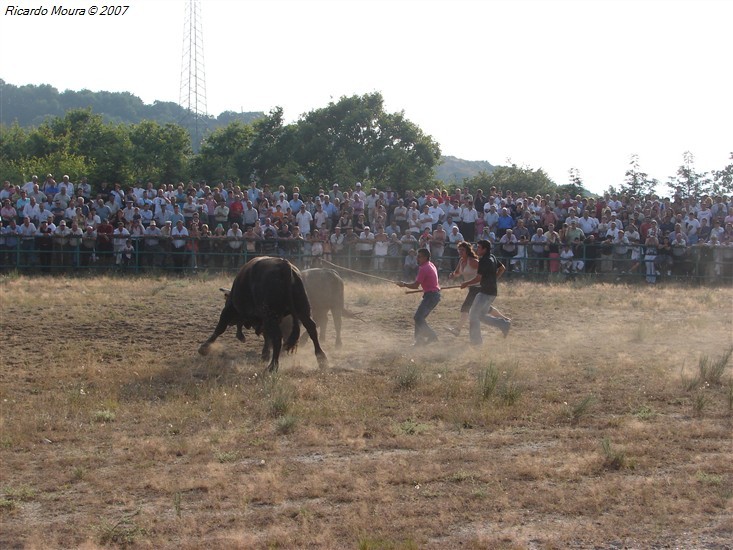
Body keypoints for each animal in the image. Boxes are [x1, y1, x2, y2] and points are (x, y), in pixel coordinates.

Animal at [199, 258, 328, 370]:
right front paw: (265, 354)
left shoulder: (229, 309)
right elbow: (267, 336)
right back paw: (322, 359)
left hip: (271, 315)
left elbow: (220, 328)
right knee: (311, 328)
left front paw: (204, 348)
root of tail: (284, 266)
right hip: (303, 310)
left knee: (277, 337)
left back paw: (273, 366)